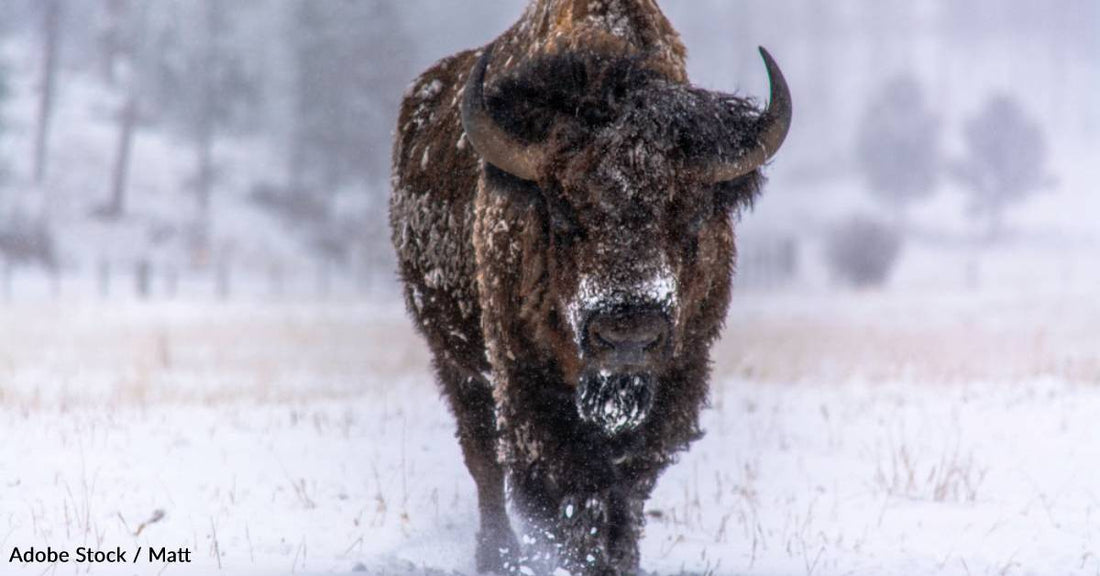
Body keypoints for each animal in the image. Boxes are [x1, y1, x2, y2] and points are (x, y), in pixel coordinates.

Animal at [391, 1, 787, 571]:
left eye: (694, 214)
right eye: (560, 212)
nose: (627, 335)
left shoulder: (679, 375)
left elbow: (625, 488)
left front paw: (621, 559)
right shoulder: (525, 380)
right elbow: (570, 488)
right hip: (456, 361)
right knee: (483, 456)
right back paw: (497, 555)